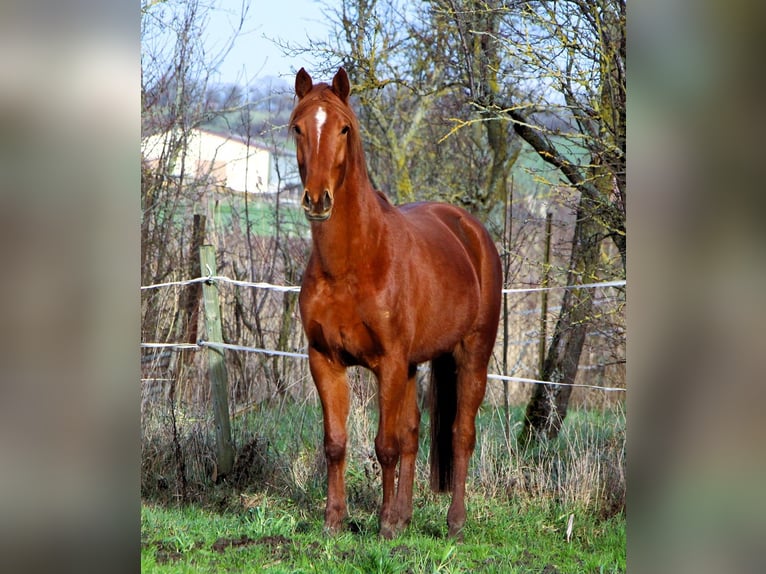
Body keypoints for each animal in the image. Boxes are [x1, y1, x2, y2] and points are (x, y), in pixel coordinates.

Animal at [290, 67, 502, 540]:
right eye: (297, 127)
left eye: (344, 129)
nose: (318, 200)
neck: (353, 262)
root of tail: (469, 230)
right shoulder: (325, 360)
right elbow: (336, 444)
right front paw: (335, 521)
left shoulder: (387, 362)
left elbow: (384, 445)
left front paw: (384, 524)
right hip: (412, 365)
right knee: (413, 433)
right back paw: (406, 515)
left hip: (471, 356)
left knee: (461, 434)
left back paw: (453, 523)